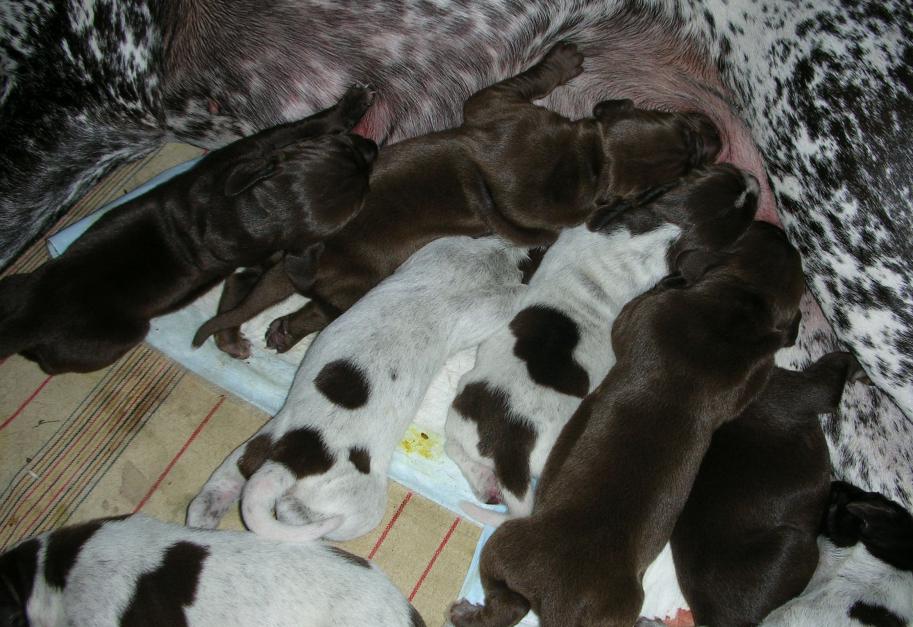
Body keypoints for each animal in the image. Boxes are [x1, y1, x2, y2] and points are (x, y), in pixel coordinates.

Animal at [0, 85, 377, 374]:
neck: (246, 212)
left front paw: (229, 340)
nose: (373, 146)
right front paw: (353, 102)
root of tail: (29, 319)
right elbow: (299, 126)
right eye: (362, 192)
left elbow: (233, 299)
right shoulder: (249, 152)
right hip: (113, 338)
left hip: (16, 283)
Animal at [187, 236, 530, 542]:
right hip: (362, 505)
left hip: (254, 447)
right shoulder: (489, 306)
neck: (490, 259)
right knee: (297, 510)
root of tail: (287, 463)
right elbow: (516, 295)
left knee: (216, 492)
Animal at [191, 42, 722, 356]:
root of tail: (302, 251)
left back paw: (260, 332)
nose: (717, 133)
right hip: (356, 280)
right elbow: (528, 80)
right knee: (312, 308)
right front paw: (565, 59)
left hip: (291, 265)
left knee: (260, 290)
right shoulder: (497, 104)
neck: (588, 159)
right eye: (687, 159)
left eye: (687, 133)